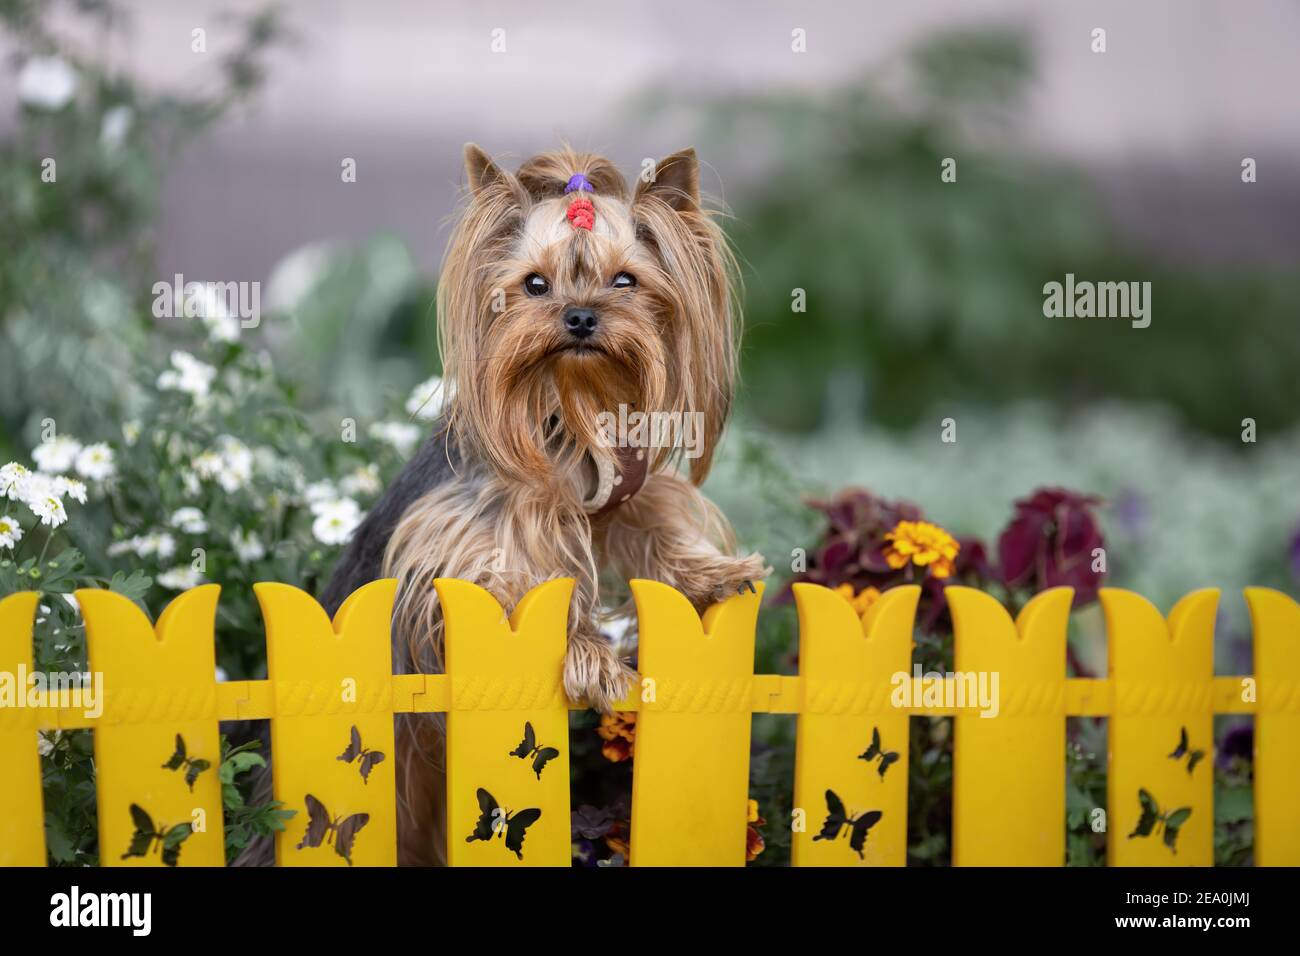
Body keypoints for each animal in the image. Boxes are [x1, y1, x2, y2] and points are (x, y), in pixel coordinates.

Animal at [243, 141, 759, 868]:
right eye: (535, 285)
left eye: (625, 281)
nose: (579, 317)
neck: (574, 402)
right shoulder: (463, 535)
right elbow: (522, 581)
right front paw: (592, 657)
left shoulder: (622, 494)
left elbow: (654, 524)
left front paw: (713, 573)